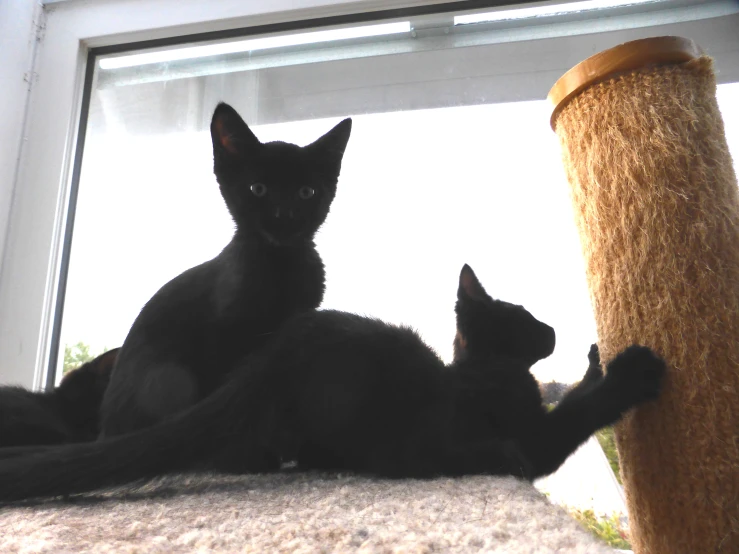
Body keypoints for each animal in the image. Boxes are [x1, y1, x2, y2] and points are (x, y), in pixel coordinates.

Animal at [0, 264, 664, 500]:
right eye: (526, 318)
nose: (553, 329)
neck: (483, 371)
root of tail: (267, 362)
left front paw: (595, 361)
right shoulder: (532, 439)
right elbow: (578, 415)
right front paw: (631, 370)